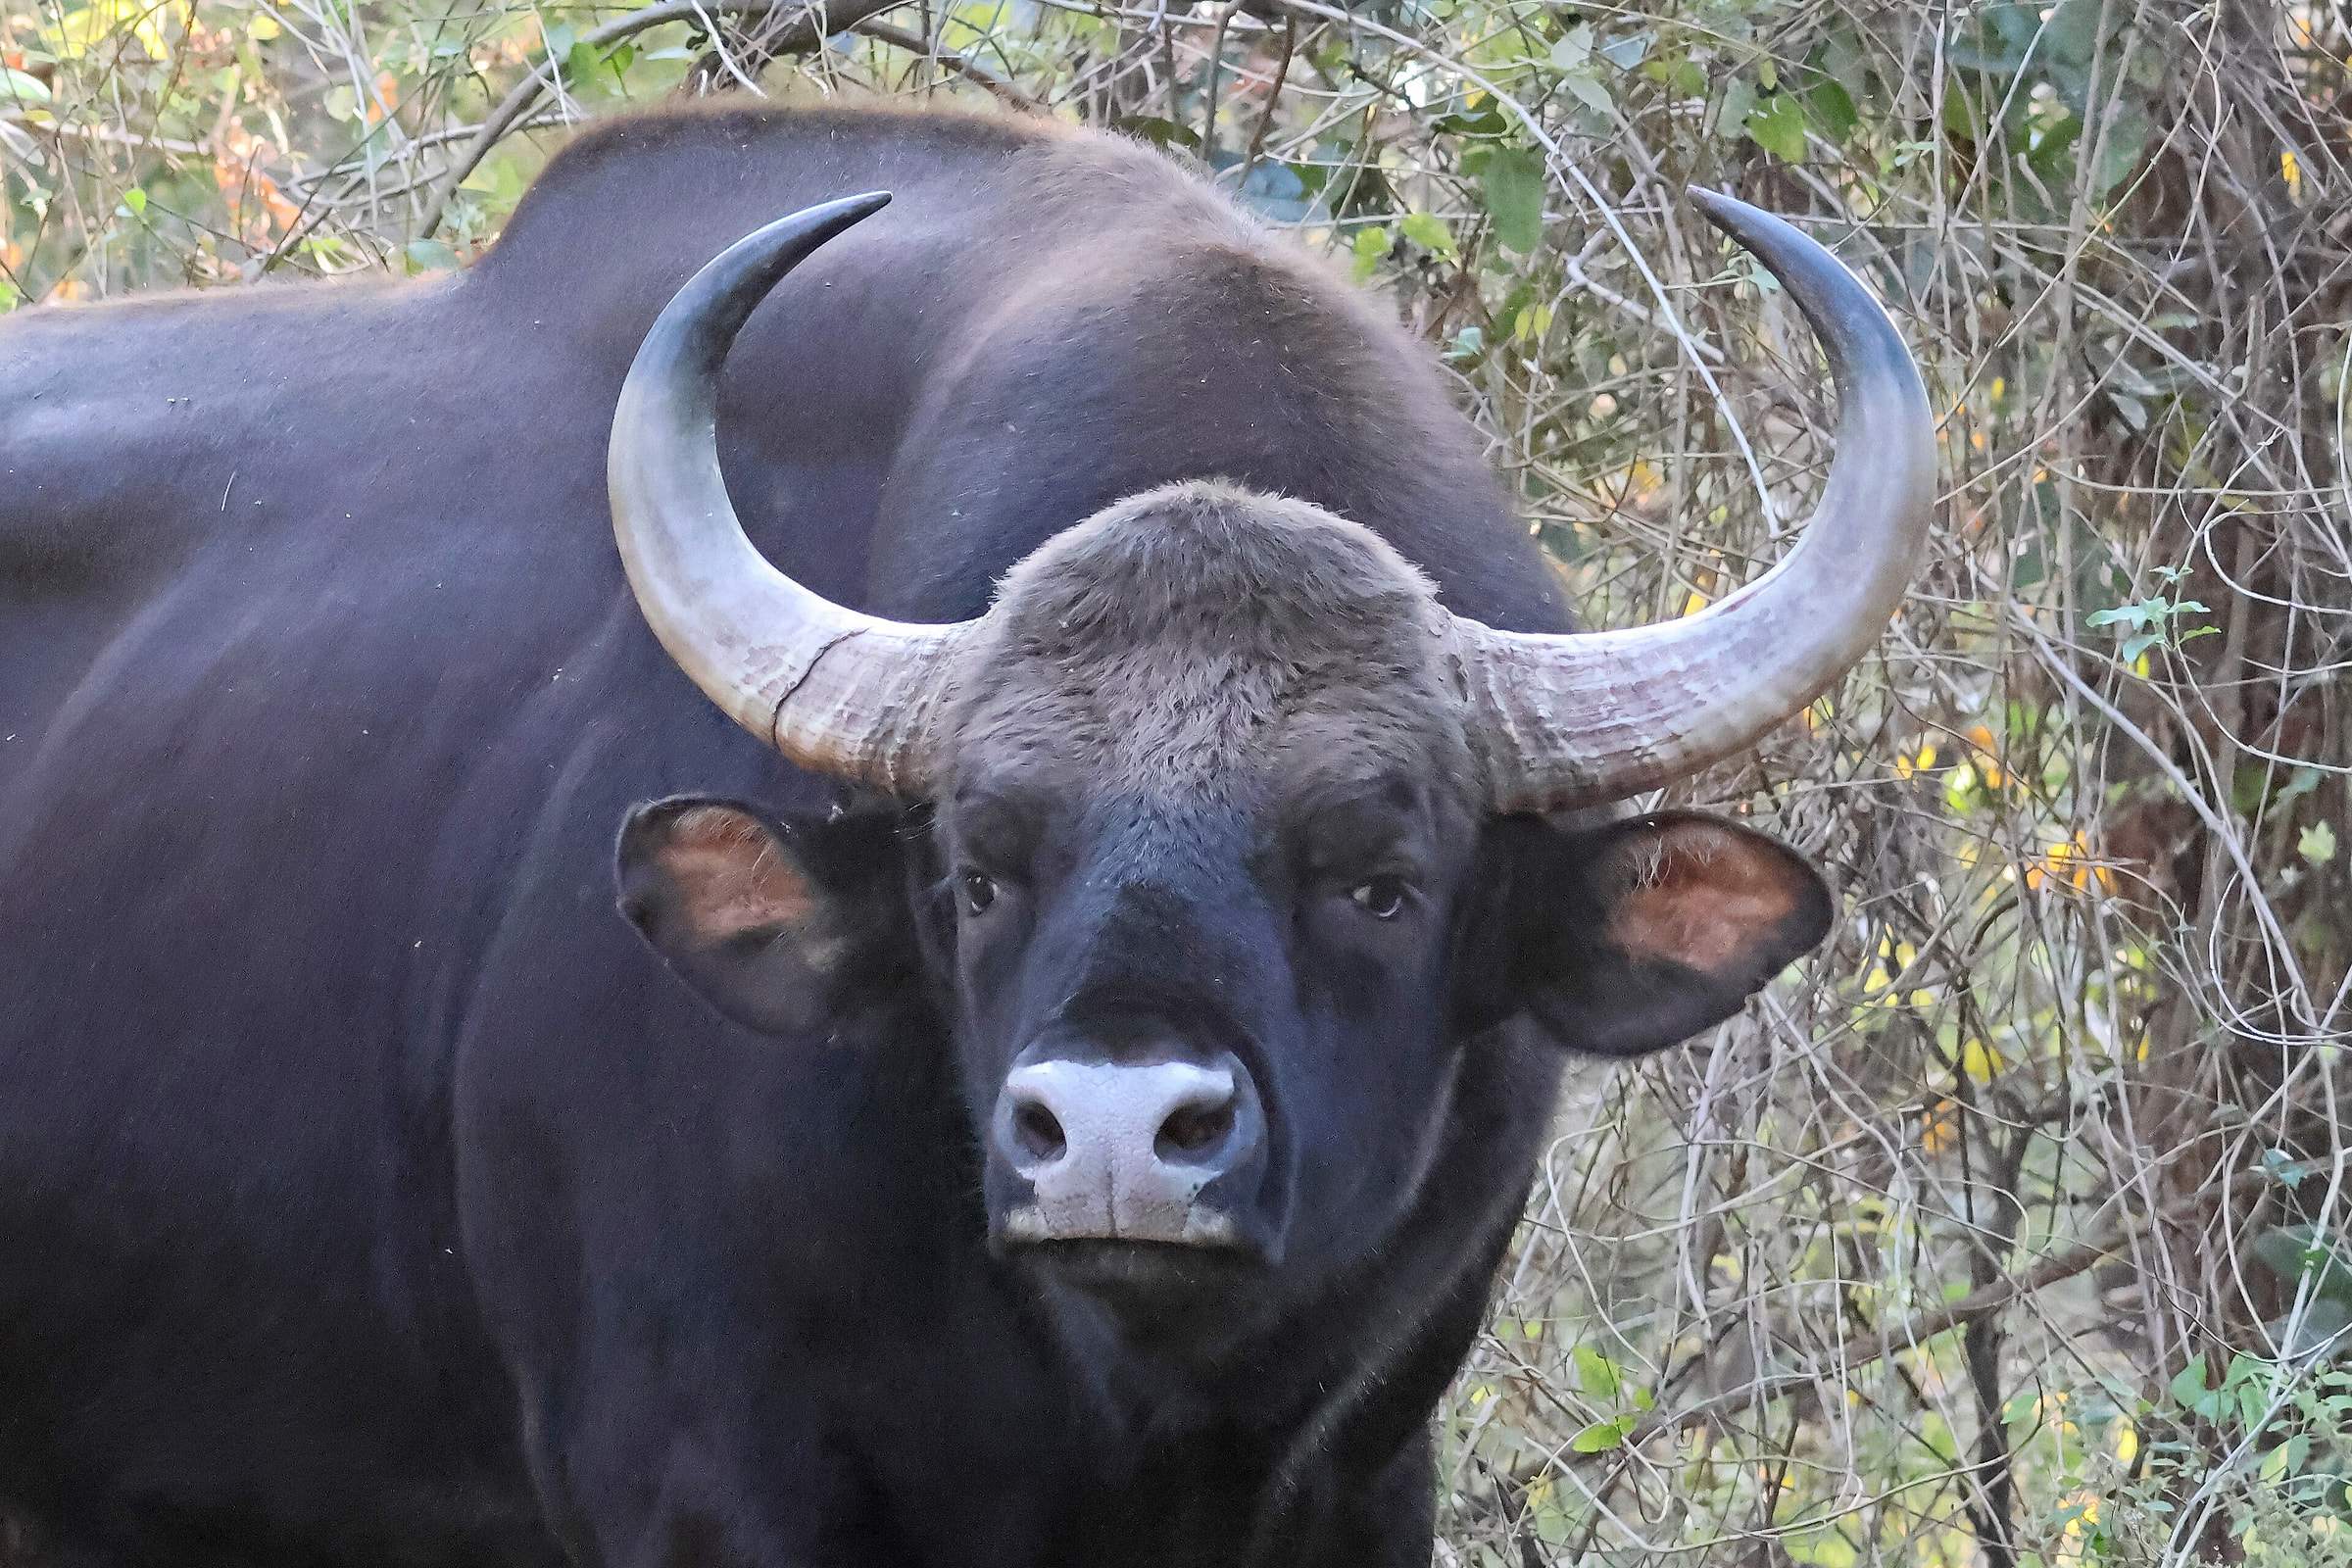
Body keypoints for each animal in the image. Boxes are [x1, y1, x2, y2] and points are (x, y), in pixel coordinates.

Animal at [0, 102, 1931, 1565]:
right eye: (979, 869)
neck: (1122, 1412)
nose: (1115, 1140)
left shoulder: (1365, 1482)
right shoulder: (699, 1486)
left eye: (1381, 881)